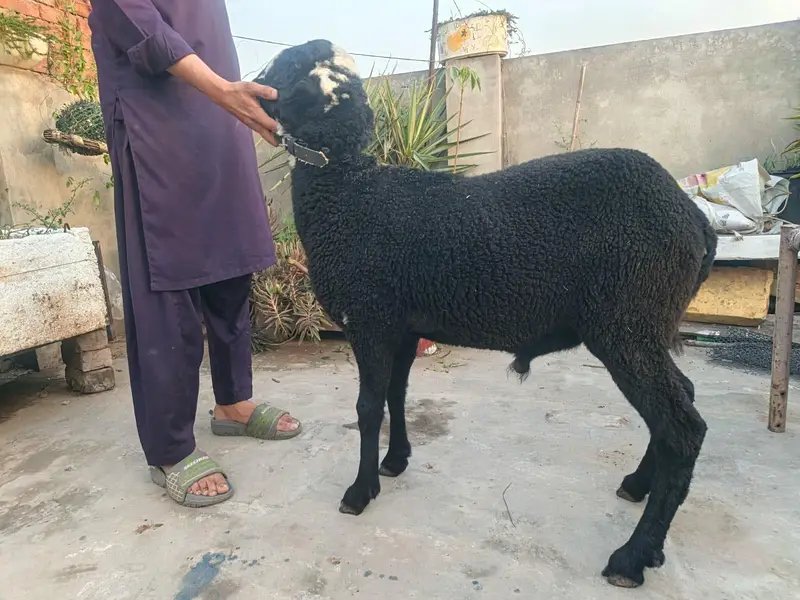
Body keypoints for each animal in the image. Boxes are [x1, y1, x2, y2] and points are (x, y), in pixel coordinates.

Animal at [255, 39, 717, 589]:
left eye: (286, 66)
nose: (252, 89)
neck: (349, 191)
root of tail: (693, 218)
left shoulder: (369, 319)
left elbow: (368, 408)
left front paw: (359, 492)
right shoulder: (402, 325)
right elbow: (396, 395)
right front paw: (395, 462)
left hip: (628, 319)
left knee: (682, 428)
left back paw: (632, 556)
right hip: (650, 323)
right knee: (679, 402)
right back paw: (637, 485)